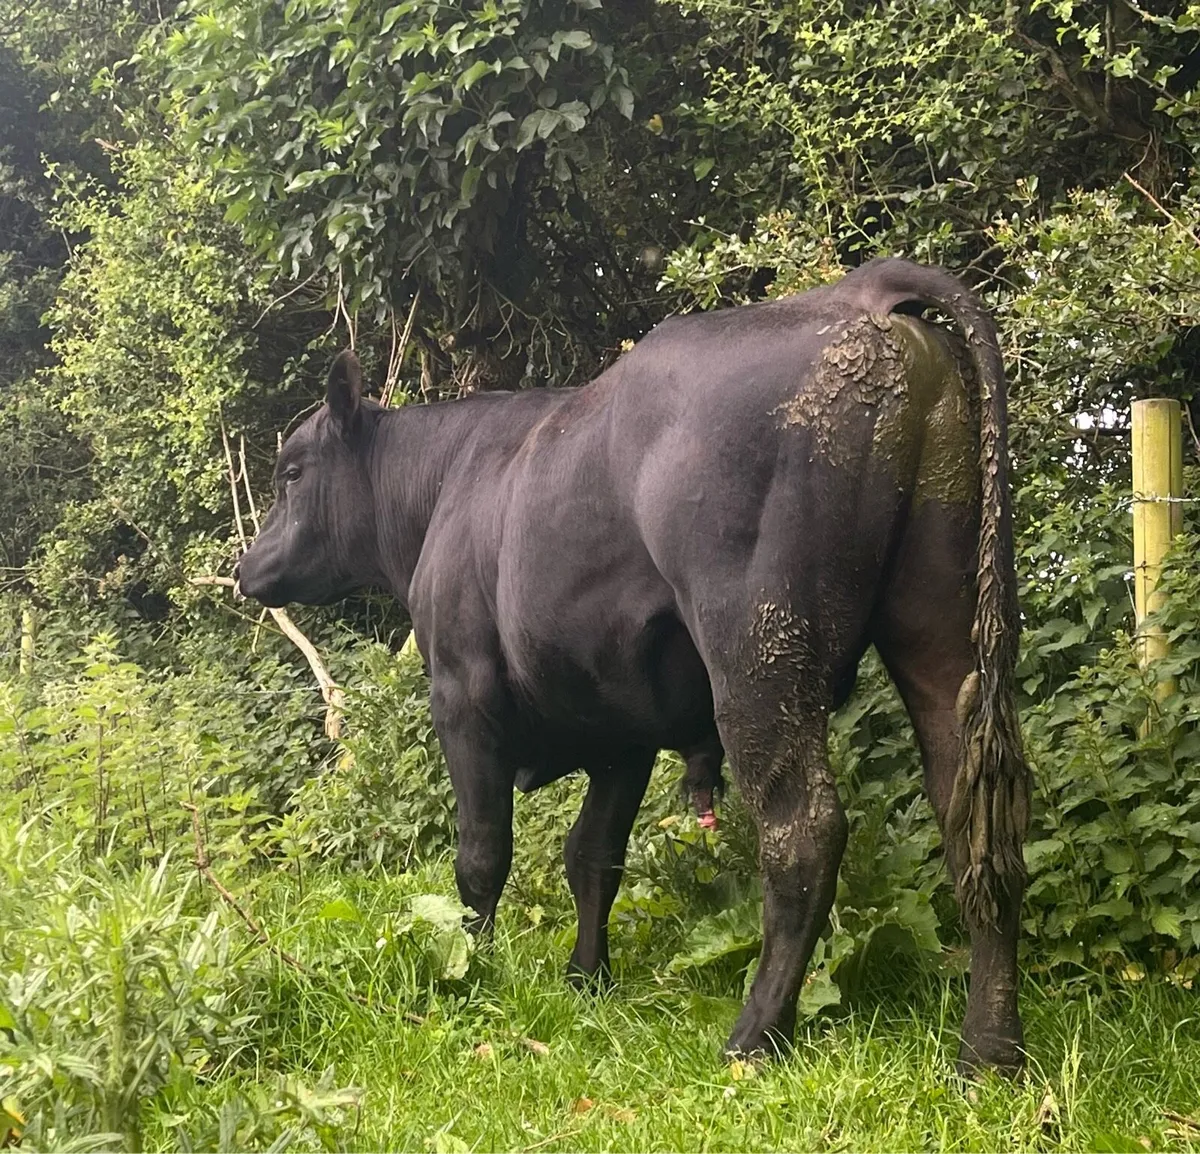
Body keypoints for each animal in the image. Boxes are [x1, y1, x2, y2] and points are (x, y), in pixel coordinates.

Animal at [235, 258, 1030, 1075]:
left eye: (292, 472)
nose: (246, 567)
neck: (444, 488)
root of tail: (858, 290)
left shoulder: (462, 694)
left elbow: (482, 853)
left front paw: (472, 969)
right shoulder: (620, 727)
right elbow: (593, 855)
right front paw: (587, 978)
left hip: (757, 647)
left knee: (803, 830)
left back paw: (754, 1036)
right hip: (937, 620)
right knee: (976, 815)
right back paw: (988, 1050)